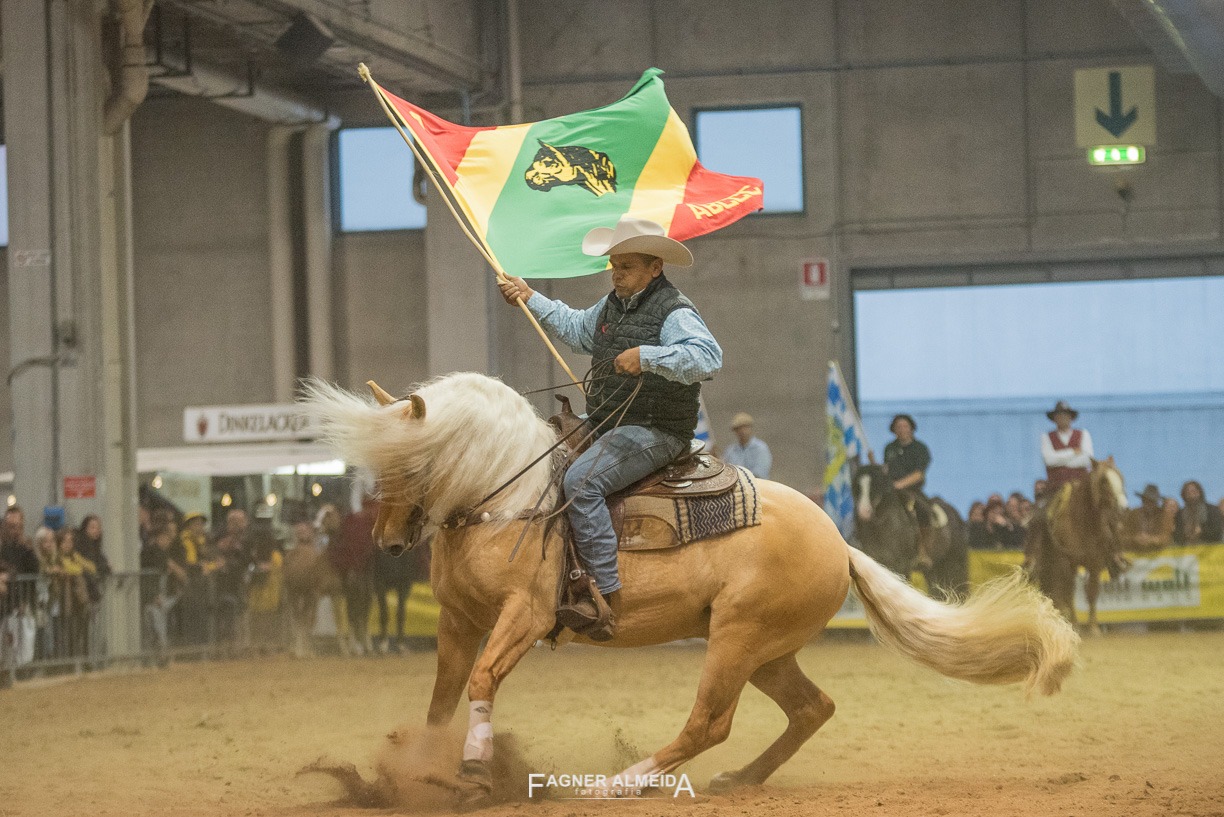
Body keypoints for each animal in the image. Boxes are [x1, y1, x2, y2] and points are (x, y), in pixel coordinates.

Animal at [851, 465, 964, 600]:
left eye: (876, 484)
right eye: (856, 485)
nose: (864, 512)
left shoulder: (902, 566)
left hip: (953, 563)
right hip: (934, 568)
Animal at [1023, 458, 1126, 636]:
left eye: (1120, 477)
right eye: (1104, 481)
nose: (1123, 506)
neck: (1083, 522)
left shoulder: (1096, 561)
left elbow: (1092, 591)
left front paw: (1093, 627)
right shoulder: (1067, 561)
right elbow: (1069, 592)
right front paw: (1074, 624)